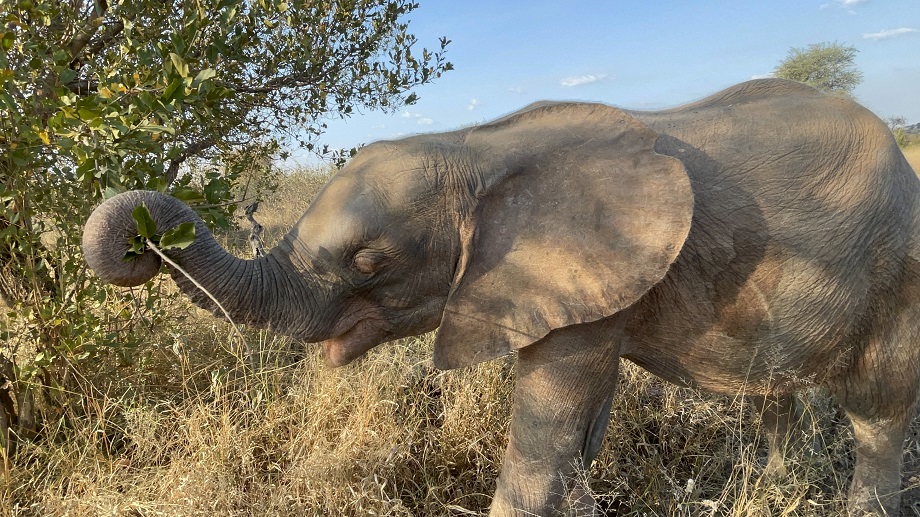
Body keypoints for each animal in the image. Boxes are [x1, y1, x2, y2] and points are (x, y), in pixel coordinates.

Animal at [83, 78, 920, 516]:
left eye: (370, 260)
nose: (142, 236)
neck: (476, 146)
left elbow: (548, 425)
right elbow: (580, 423)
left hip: (899, 273)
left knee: (878, 411)